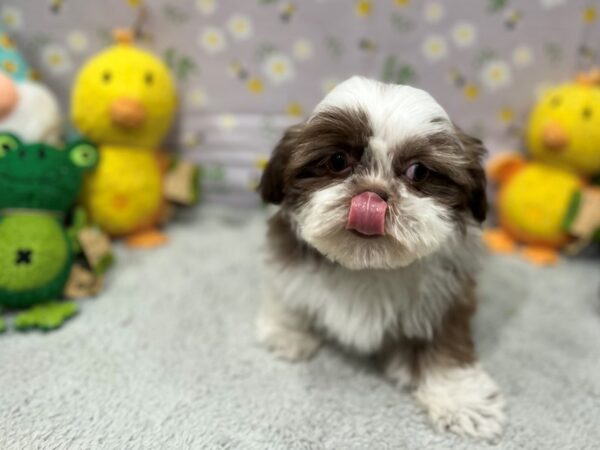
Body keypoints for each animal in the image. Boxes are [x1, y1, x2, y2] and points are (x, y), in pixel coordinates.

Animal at [255, 76, 504, 440]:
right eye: (337, 161)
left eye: (418, 171)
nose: (372, 194)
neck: (368, 265)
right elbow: (289, 292)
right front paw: (288, 332)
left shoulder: (447, 295)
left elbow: (446, 346)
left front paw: (461, 399)